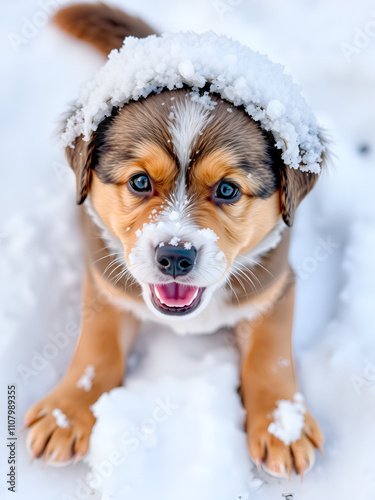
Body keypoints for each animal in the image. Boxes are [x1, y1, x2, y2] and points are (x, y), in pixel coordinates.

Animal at [25, 4, 326, 480]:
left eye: (227, 190)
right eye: (140, 182)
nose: (174, 257)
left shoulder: (276, 284)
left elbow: (271, 355)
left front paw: (283, 424)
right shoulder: (105, 279)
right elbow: (97, 347)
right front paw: (67, 412)